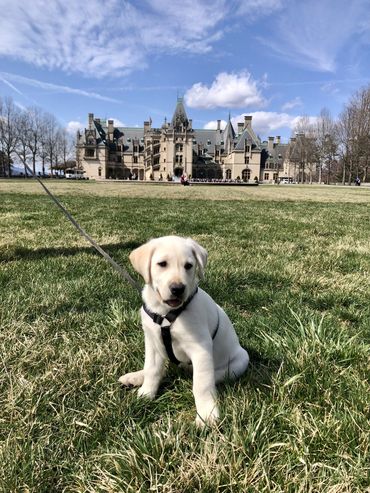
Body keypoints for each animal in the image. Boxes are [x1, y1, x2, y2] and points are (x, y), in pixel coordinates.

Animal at [120, 234, 250, 422]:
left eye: (188, 266)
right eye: (162, 264)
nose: (177, 289)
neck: (166, 313)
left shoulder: (200, 348)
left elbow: (202, 385)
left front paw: (207, 415)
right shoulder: (152, 342)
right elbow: (152, 370)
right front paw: (146, 393)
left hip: (240, 361)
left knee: (213, 376)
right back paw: (136, 377)